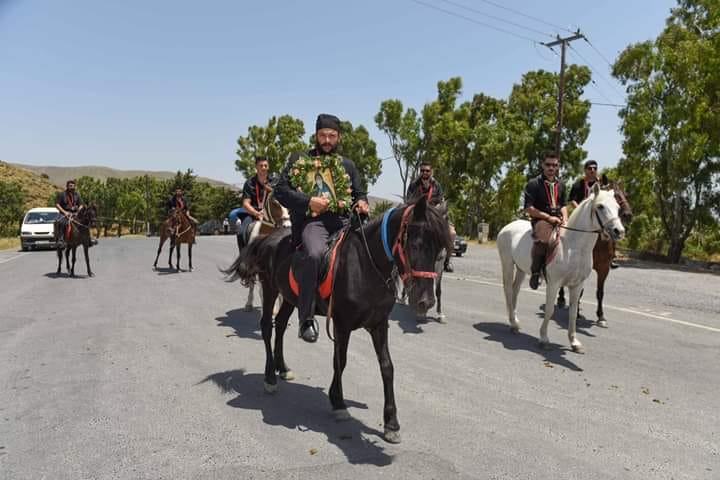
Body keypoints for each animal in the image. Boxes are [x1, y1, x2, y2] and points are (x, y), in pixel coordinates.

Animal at [225, 197, 450, 444]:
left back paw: (282, 368)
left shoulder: (379, 324)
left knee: (281, 325)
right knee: (267, 326)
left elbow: (387, 367)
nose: (425, 301)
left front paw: (391, 423)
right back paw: (269, 378)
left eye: (441, 250)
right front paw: (338, 402)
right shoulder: (342, 324)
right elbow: (340, 361)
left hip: (290, 298)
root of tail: (268, 237)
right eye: (416, 244)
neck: (365, 266)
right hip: (270, 289)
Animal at [496, 184, 624, 352]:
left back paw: (515, 323)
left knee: (515, 291)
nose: (619, 231)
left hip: (521, 270)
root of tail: (507, 227)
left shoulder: (577, 285)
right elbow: (550, 310)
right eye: (600, 206)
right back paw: (513, 323)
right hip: (508, 265)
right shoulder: (554, 283)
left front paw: (574, 342)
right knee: (508, 291)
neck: (573, 247)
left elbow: (573, 312)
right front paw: (544, 338)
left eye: (617, 207)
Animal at [556, 180, 632, 326]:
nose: (628, 215)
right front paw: (577, 314)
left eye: (625, 195)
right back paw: (561, 299)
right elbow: (580, 292)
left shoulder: (604, 269)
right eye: (617, 196)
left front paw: (601, 316)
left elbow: (600, 292)